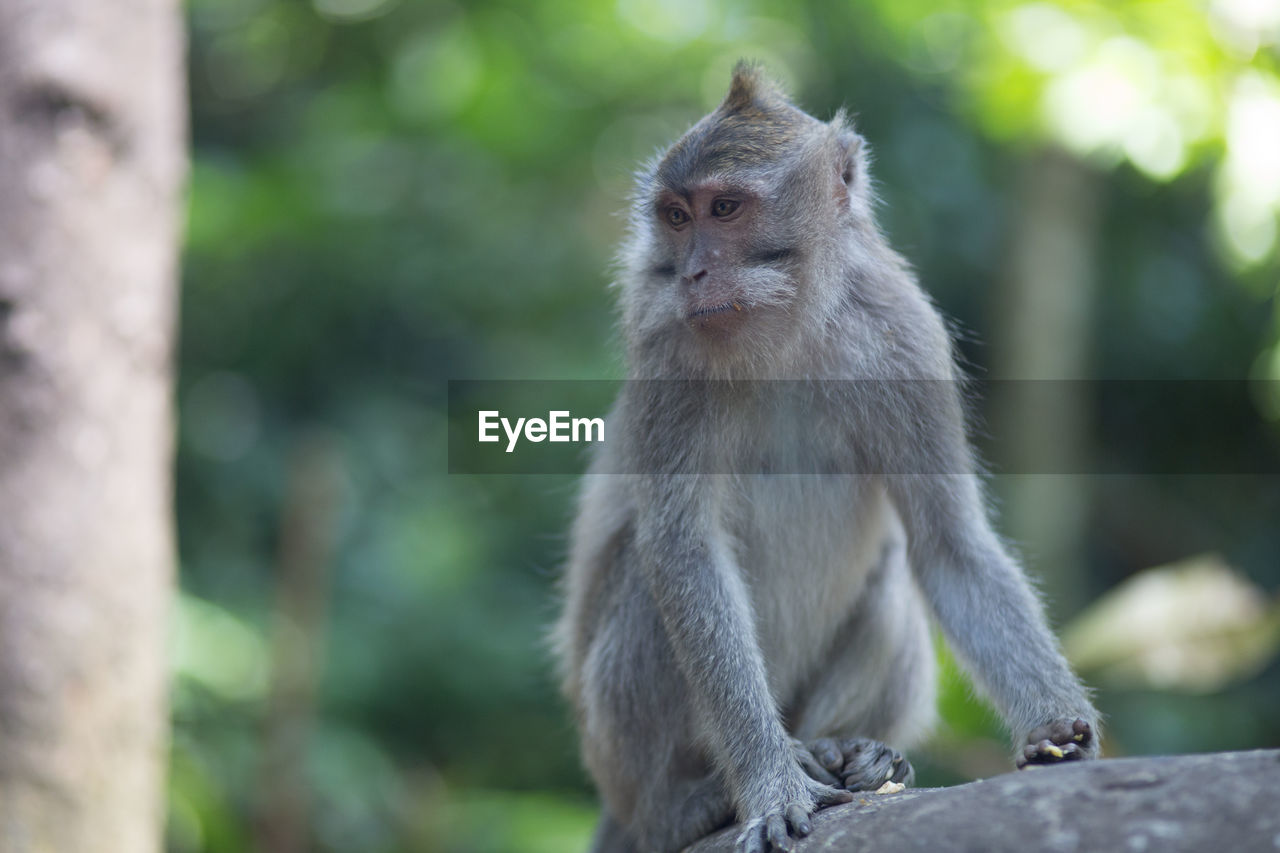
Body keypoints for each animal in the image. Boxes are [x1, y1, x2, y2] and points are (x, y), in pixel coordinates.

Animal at [552, 64, 1100, 850]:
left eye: (725, 208)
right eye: (678, 218)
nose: (692, 274)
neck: (787, 331)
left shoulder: (906, 338)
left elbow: (949, 541)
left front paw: (1055, 728)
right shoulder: (666, 348)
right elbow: (684, 551)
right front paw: (769, 781)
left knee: (895, 574)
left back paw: (848, 749)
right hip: (612, 756)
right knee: (645, 576)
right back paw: (687, 802)